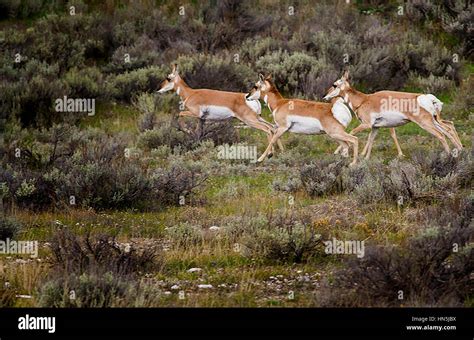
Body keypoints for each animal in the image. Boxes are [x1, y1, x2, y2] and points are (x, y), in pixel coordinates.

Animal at [324, 70, 462, 159]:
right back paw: (459, 151)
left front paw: (338, 152)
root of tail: (426, 97)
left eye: (334, 85)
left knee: (441, 135)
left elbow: (351, 132)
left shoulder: (366, 124)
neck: (364, 100)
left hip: (426, 124)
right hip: (434, 120)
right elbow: (371, 138)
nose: (325, 96)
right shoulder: (375, 127)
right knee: (448, 128)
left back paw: (448, 156)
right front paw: (366, 157)